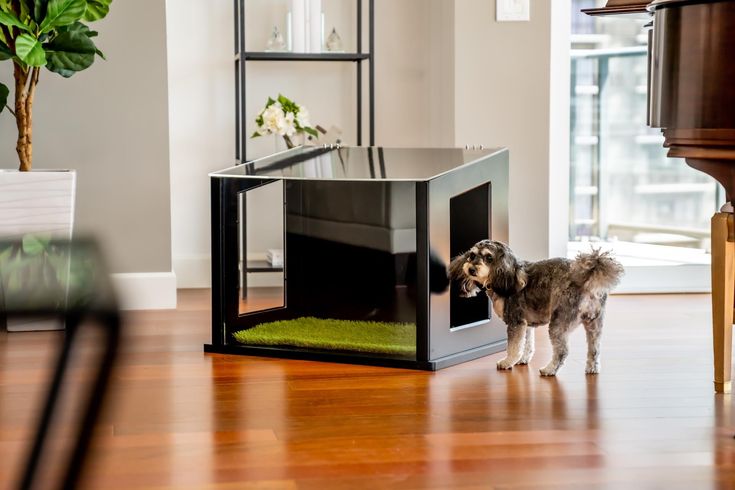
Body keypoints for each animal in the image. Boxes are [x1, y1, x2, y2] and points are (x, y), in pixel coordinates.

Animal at [446, 240, 624, 376]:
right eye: (472, 255)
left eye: (489, 257)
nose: (471, 269)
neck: (507, 276)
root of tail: (586, 280)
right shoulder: (527, 324)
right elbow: (527, 345)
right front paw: (522, 360)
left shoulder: (516, 322)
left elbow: (513, 347)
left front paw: (507, 362)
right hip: (594, 325)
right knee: (594, 350)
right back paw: (592, 369)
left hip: (558, 324)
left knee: (562, 352)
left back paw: (549, 370)